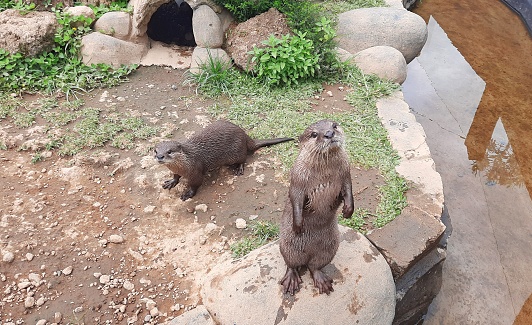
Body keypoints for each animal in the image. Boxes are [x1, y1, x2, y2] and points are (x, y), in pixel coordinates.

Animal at [154, 119, 296, 200]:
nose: (160, 156)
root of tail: (244, 135)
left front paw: (188, 193)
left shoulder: (196, 171)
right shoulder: (177, 170)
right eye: (155, 151)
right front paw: (171, 182)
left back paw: (239, 168)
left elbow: (195, 184)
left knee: (243, 158)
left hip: (237, 152)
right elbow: (176, 176)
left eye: (169, 151)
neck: (185, 164)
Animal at [278, 118, 354, 294]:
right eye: (314, 134)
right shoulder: (298, 178)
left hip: (330, 248)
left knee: (314, 266)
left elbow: (348, 190)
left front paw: (348, 210)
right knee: (291, 264)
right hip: (287, 246)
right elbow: (296, 199)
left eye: (334, 125)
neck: (324, 174)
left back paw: (321, 280)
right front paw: (298, 225)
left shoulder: (346, 172)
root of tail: (308, 255)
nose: (329, 133)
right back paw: (291, 279)